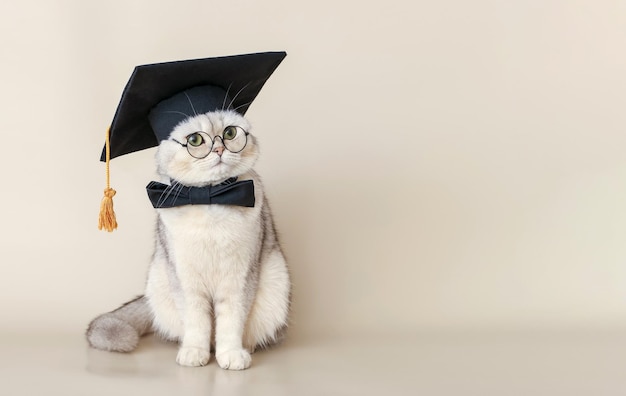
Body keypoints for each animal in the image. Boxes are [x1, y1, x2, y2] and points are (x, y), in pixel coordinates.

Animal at [87, 109, 290, 372]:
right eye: (195, 140)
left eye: (229, 133)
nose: (219, 149)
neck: (209, 199)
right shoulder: (185, 280)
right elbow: (197, 323)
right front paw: (194, 352)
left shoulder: (239, 278)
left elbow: (231, 322)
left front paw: (231, 353)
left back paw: (246, 348)